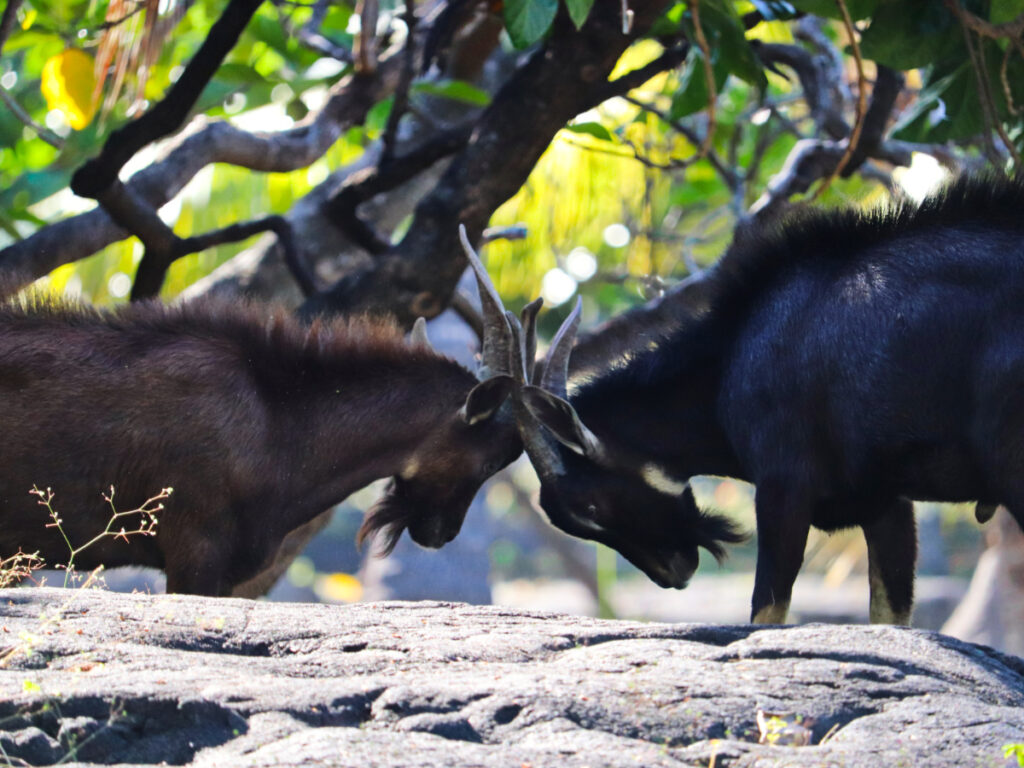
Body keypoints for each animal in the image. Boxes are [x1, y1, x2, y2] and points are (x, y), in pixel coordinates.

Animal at [516, 174, 1024, 626]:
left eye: (592, 507)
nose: (673, 574)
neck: (732, 357)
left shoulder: (785, 485)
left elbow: (766, 612)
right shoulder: (883, 500)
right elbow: (890, 615)